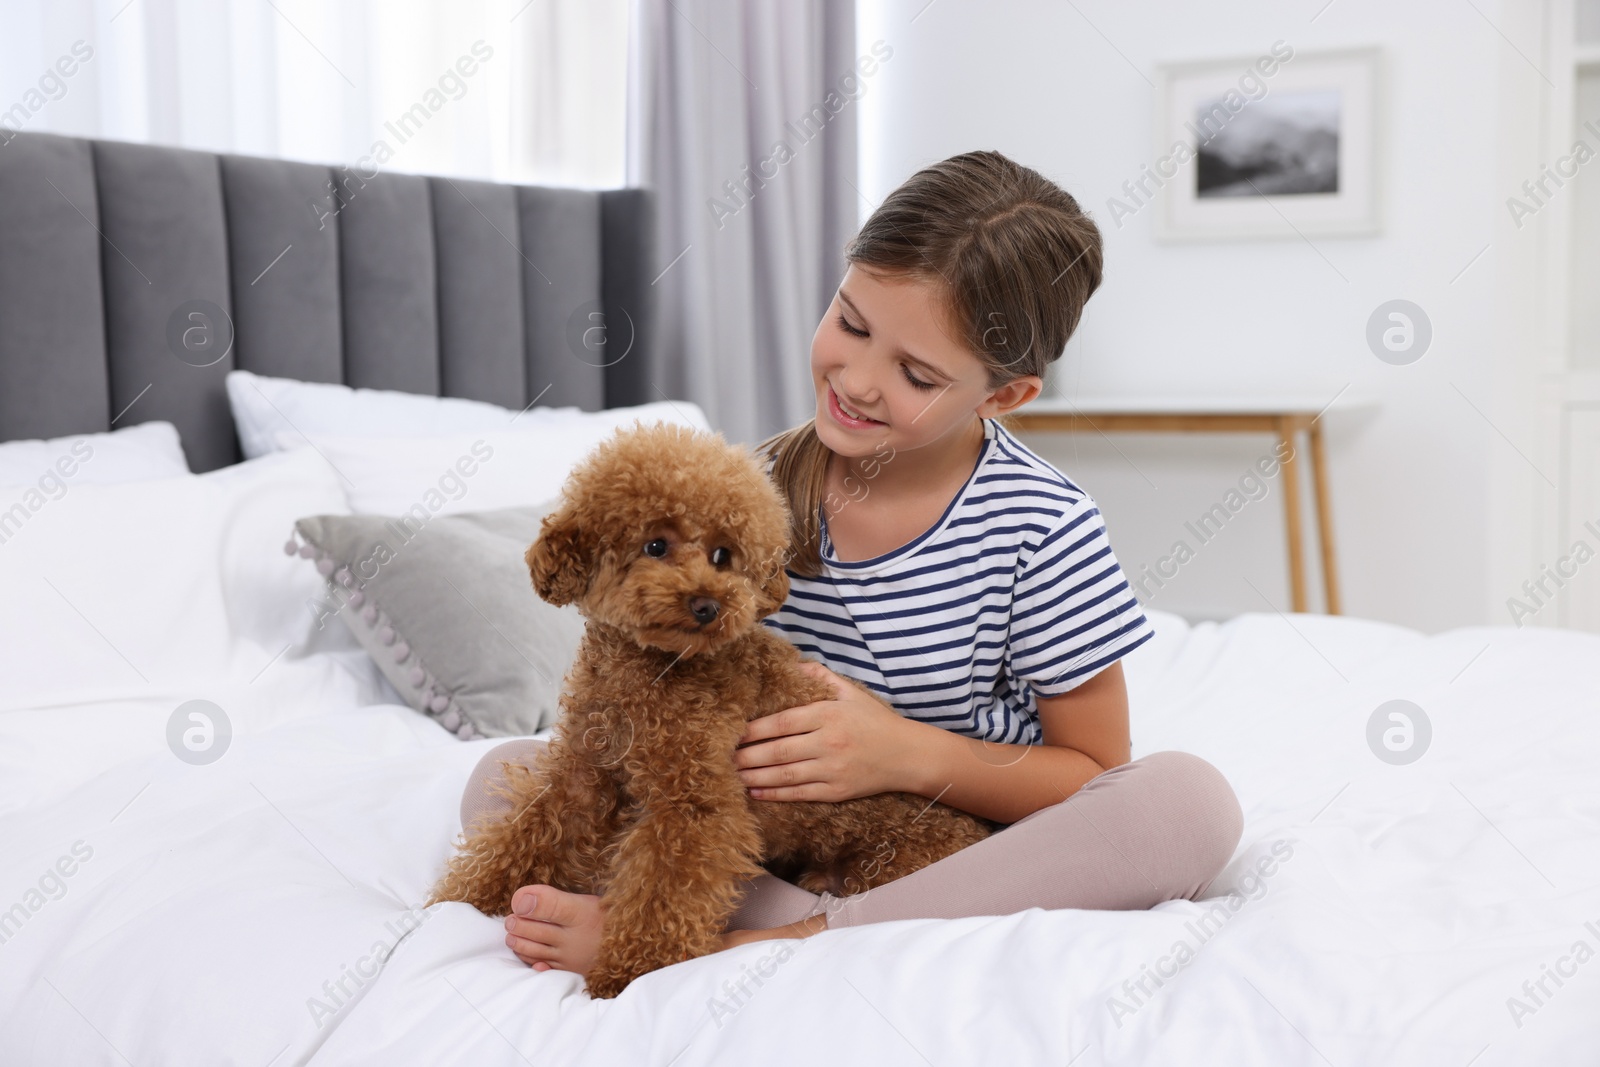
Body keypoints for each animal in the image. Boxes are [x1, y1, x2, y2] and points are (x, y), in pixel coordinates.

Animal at [432, 422, 992, 1004]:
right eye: (655, 545)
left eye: (723, 555)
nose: (707, 605)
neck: (650, 670)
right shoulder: (585, 772)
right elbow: (528, 831)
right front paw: (464, 899)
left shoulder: (694, 801)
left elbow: (665, 889)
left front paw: (629, 972)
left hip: (894, 867)